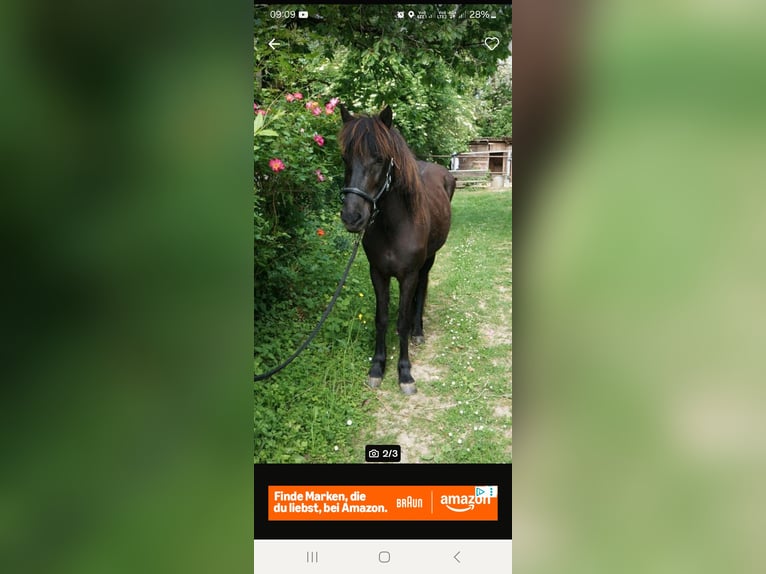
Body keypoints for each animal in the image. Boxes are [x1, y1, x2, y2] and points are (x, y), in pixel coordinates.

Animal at [338, 104, 456, 395]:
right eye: (345, 157)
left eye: (380, 159)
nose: (352, 217)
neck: (395, 225)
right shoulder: (378, 273)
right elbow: (381, 317)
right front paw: (377, 367)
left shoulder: (408, 275)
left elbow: (402, 319)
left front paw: (405, 373)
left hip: (429, 259)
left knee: (423, 288)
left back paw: (418, 331)